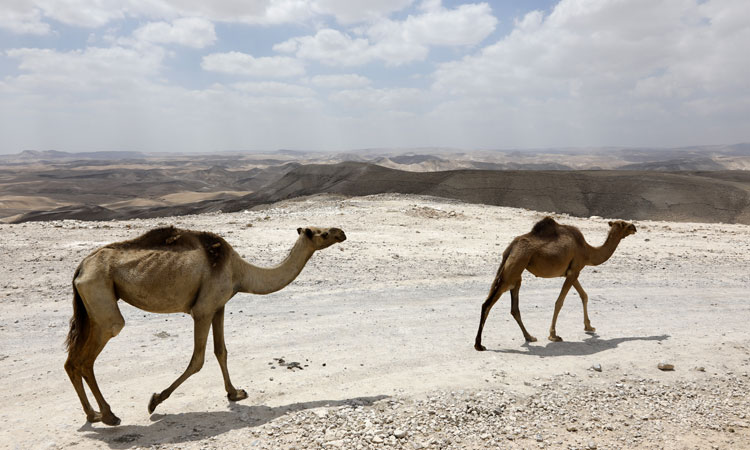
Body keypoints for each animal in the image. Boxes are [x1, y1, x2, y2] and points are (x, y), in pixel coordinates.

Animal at [64, 225, 346, 426]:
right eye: (322, 233)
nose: (341, 232)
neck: (240, 272)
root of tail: (80, 268)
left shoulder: (219, 306)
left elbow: (221, 351)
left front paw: (235, 393)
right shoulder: (203, 309)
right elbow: (197, 360)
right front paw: (155, 401)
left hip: (91, 308)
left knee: (72, 361)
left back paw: (92, 415)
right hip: (101, 297)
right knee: (91, 355)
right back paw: (109, 416)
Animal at [476, 216, 636, 350]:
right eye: (623, 224)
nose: (634, 227)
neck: (587, 251)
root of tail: (511, 247)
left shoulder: (572, 272)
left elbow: (584, 295)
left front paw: (589, 327)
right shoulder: (574, 271)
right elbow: (559, 302)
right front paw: (553, 335)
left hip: (513, 270)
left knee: (512, 307)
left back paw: (529, 337)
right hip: (515, 267)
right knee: (488, 304)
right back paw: (479, 345)